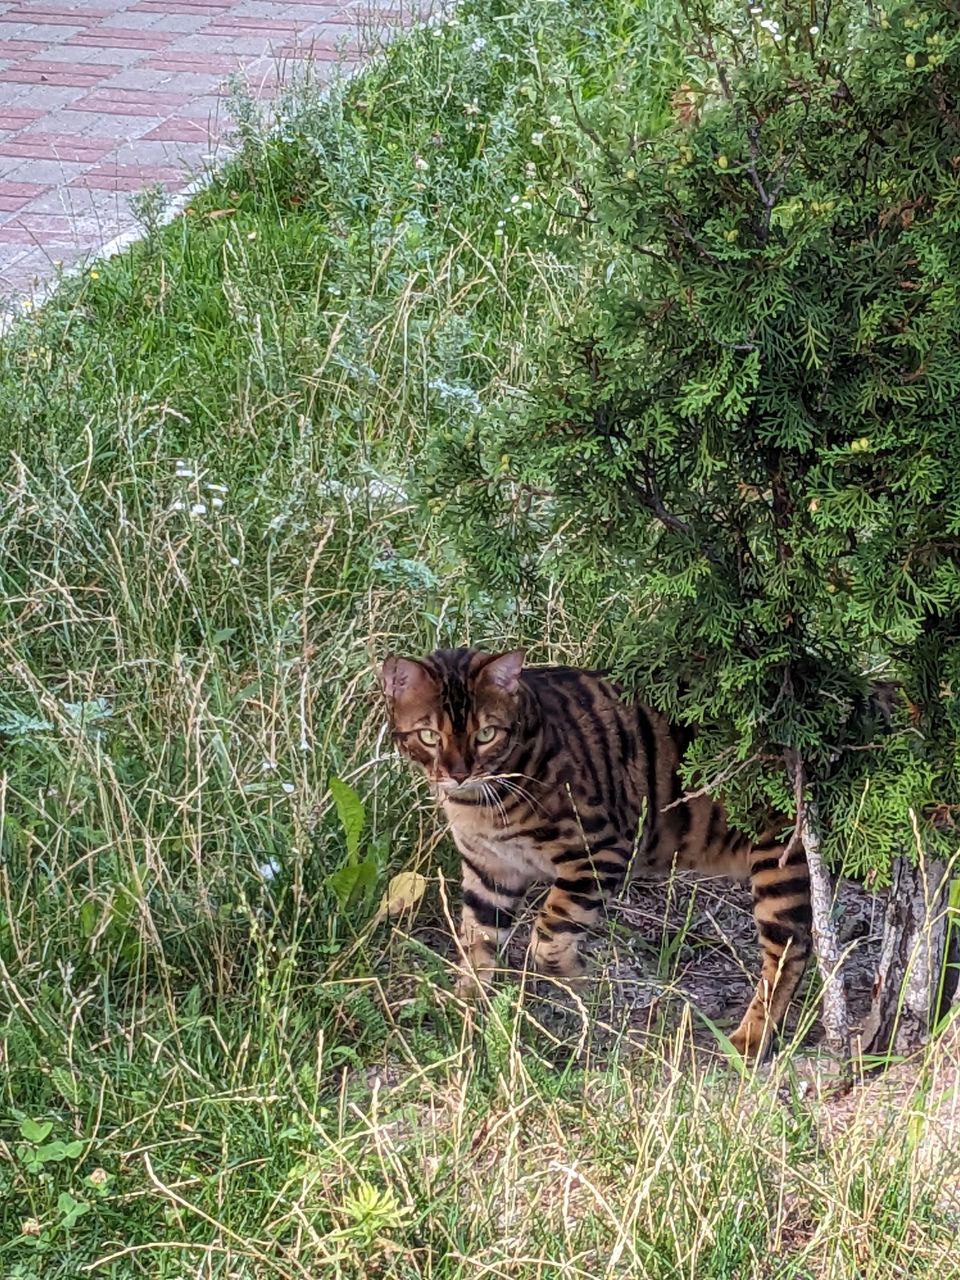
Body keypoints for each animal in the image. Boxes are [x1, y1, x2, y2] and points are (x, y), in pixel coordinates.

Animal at [381, 645, 814, 1054]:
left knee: (791, 950)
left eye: (486, 734)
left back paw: (752, 1038)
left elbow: (549, 933)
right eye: (429, 736)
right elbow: (477, 941)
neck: (479, 806)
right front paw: (467, 1006)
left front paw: (579, 976)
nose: (458, 774)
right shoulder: (490, 870)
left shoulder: (600, 851)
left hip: (778, 856)